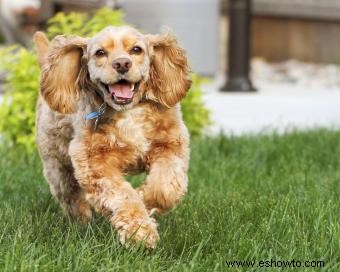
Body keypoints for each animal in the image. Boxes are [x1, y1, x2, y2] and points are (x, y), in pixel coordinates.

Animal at [35, 26, 191, 249]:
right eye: (100, 53)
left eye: (136, 49)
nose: (122, 63)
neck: (129, 113)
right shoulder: (94, 162)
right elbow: (122, 196)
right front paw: (139, 233)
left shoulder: (171, 144)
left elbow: (166, 186)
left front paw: (145, 199)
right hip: (57, 164)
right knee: (71, 196)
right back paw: (82, 222)